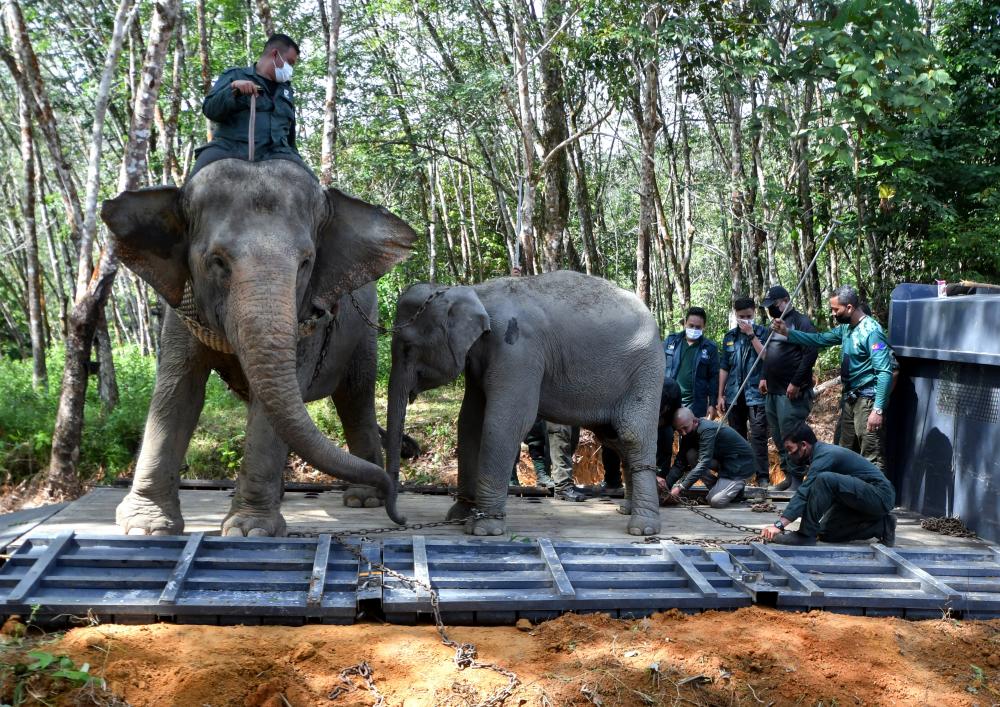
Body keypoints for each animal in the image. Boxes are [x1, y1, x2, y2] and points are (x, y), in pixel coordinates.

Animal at [100, 158, 416, 536]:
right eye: (218, 261)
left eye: (306, 262)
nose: (400, 516)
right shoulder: (179, 311)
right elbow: (178, 393)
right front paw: (146, 528)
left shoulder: (306, 319)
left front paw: (250, 530)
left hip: (364, 332)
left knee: (355, 399)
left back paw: (363, 499)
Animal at [384, 271, 666, 536]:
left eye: (408, 347)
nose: (404, 520)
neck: (474, 291)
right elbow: (469, 422)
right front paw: (458, 517)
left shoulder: (517, 350)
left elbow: (506, 422)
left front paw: (484, 528)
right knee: (614, 439)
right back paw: (626, 509)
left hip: (646, 372)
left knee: (632, 436)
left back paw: (643, 528)